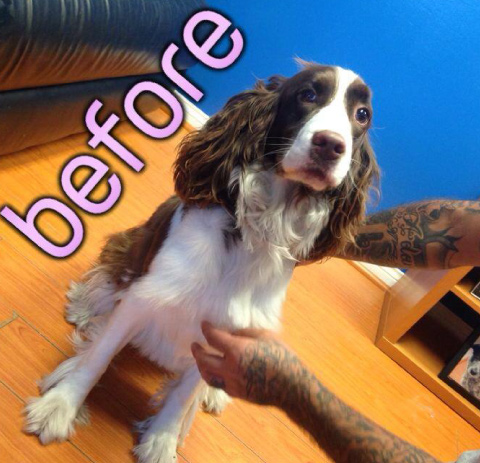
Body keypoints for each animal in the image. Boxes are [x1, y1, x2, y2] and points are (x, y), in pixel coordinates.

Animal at [24, 61, 378, 462]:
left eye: (362, 115)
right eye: (308, 94)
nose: (331, 145)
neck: (254, 237)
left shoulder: (222, 334)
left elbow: (183, 395)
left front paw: (161, 440)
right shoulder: (147, 296)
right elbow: (98, 356)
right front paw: (59, 407)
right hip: (130, 248)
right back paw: (86, 309)